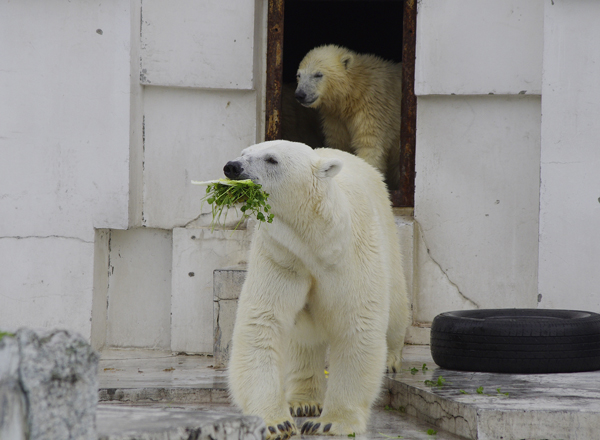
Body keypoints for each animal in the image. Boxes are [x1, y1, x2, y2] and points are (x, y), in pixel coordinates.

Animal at [227, 140, 410, 436]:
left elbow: (356, 324)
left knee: (395, 303)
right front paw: (276, 422)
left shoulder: (350, 256)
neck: (315, 241)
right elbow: (263, 321)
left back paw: (392, 359)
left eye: (271, 159)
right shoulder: (282, 255)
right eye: (244, 153)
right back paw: (303, 402)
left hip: (387, 229)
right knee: (305, 337)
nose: (232, 167)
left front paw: (331, 423)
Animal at [296, 44, 404, 192]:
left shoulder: (373, 107)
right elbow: (339, 144)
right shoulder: (335, 117)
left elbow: (369, 145)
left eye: (318, 74)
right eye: (298, 75)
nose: (300, 94)